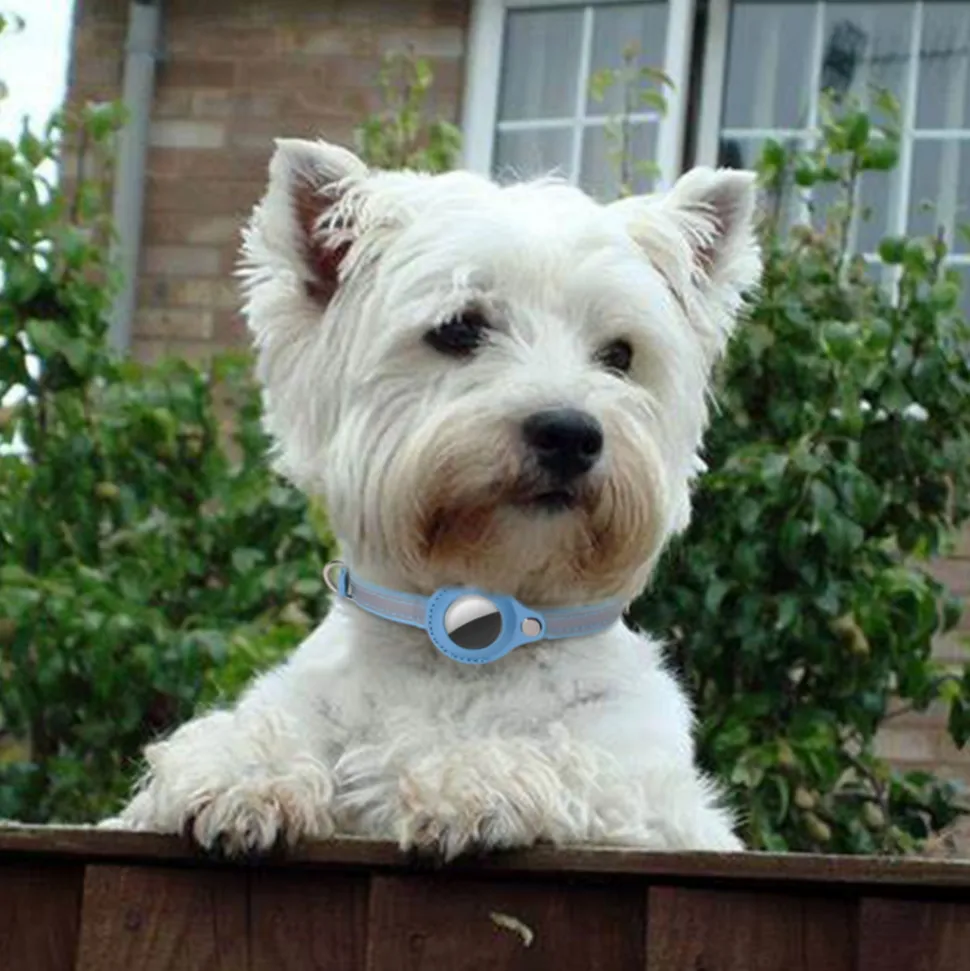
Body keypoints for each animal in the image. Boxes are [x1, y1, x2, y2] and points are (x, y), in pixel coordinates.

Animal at [102, 139, 762, 859]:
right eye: (458, 329)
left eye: (619, 353)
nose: (569, 433)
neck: (474, 624)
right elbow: (250, 739)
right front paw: (239, 776)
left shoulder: (658, 799)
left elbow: (572, 758)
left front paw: (472, 782)